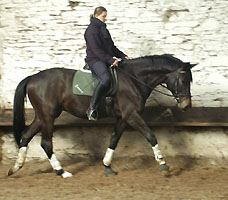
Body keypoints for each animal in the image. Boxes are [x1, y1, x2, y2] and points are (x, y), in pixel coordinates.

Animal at [8, 54, 195, 178]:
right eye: (183, 80)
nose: (187, 106)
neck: (134, 79)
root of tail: (33, 77)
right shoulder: (131, 115)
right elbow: (151, 136)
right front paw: (163, 164)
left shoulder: (123, 118)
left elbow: (114, 140)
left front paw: (107, 166)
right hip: (48, 116)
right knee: (46, 143)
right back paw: (62, 172)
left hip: (42, 116)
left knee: (26, 136)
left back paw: (15, 168)